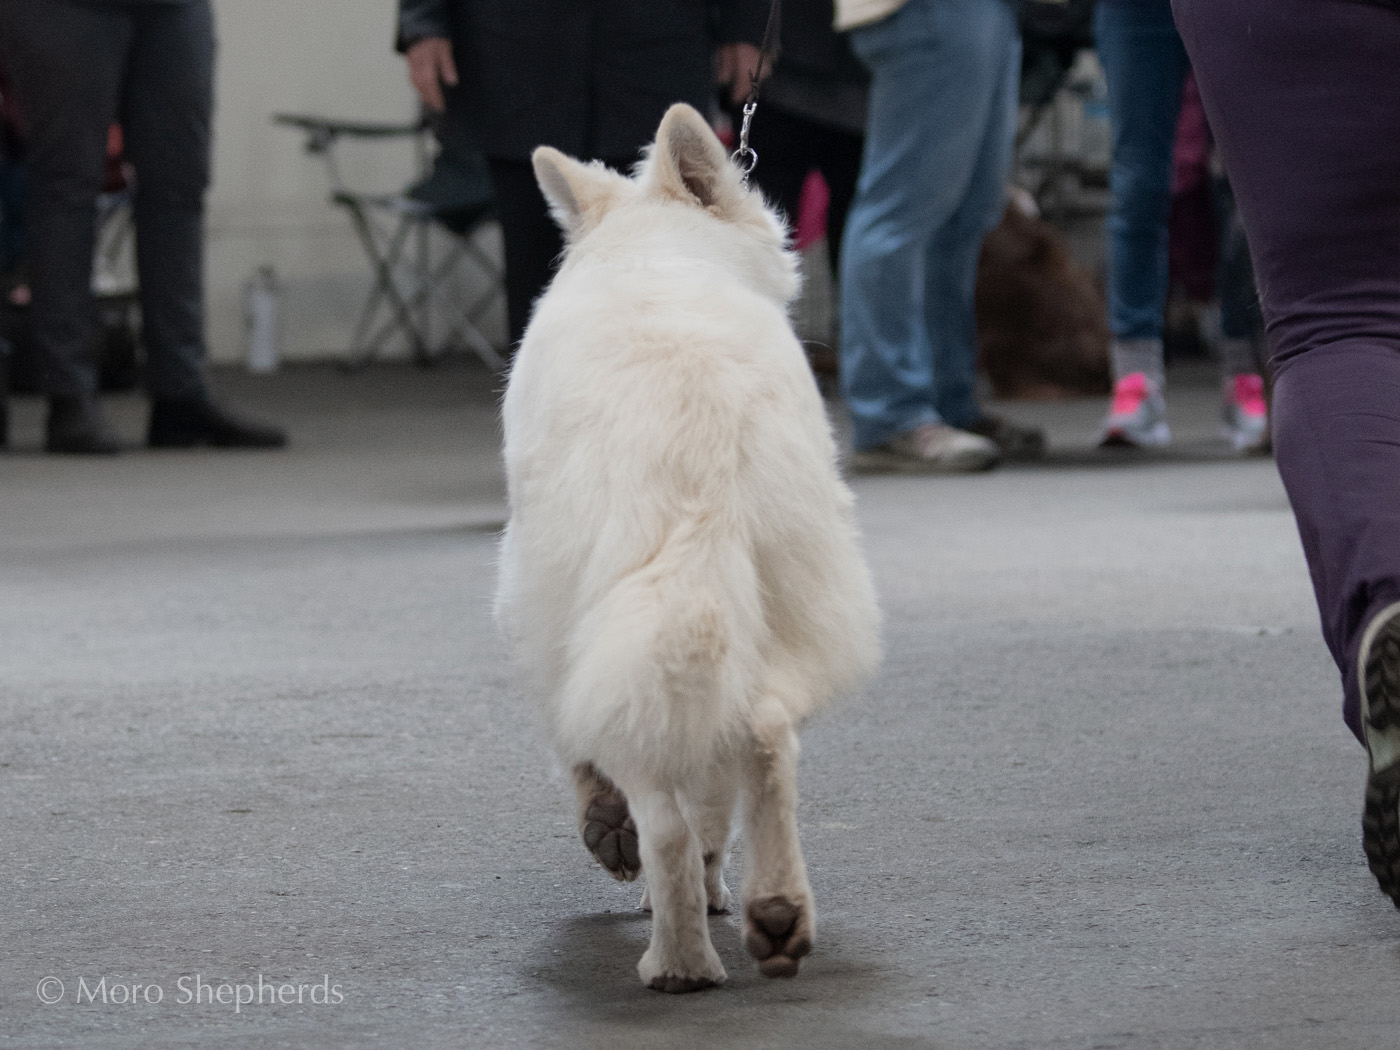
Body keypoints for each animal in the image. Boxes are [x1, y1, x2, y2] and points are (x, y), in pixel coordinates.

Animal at [498, 105, 879, 996]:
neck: (649, 247)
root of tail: (697, 438)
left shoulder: (550, 610)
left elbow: (597, 757)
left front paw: (612, 830)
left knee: (664, 812)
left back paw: (677, 961)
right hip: (783, 596)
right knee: (766, 738)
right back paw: (775, 913)